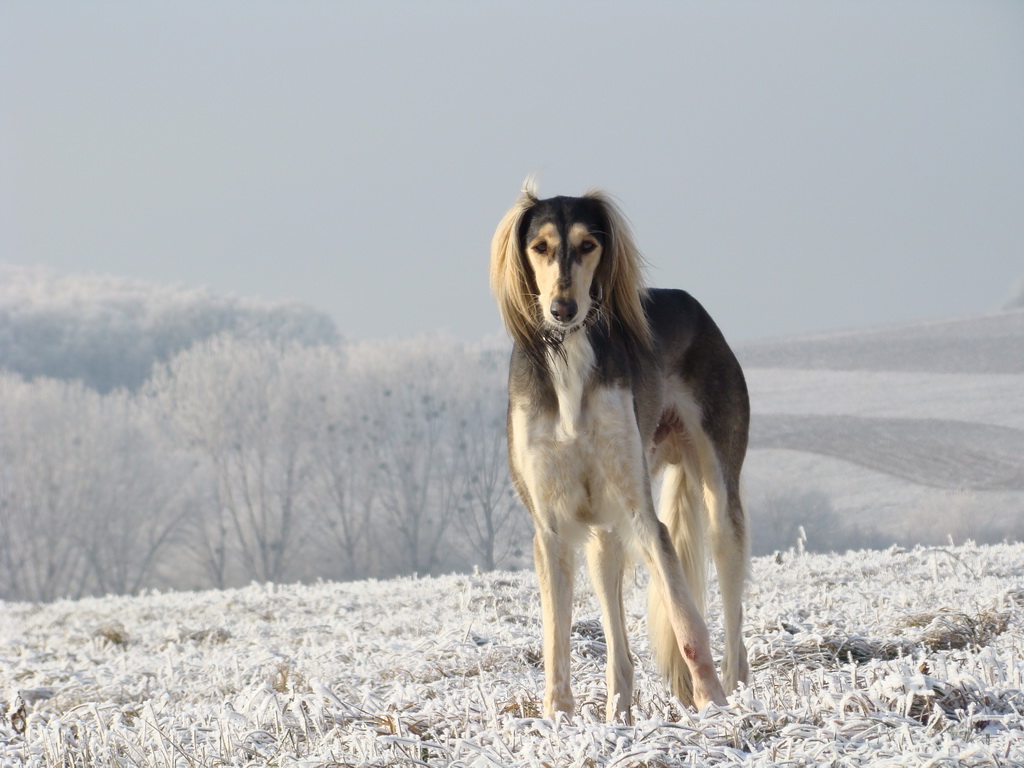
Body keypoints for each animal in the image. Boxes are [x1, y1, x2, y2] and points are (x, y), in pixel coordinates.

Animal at [491, 183, 749, 724]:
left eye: (589, 245)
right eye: (539, 247)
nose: (563, 308)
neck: (568, 357)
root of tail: (690, 302)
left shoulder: (642, 514)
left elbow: (689, 625)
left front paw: (711, 707)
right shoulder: (550, 527)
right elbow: (556, 640)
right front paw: (558, 718)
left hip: (719, 500)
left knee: (733, 627)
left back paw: (738, 697)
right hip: (601, 536)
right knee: (620, 650)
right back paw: (618, 717)